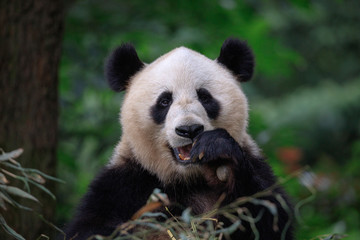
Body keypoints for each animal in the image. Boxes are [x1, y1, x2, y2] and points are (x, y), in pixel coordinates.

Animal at [65, 38, 292, 239]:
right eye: (164, 101)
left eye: (205, 97)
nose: (189, 129)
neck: (187, 180)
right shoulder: (124, 183)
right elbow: (92, 229)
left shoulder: (256, 166)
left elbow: (268, 217)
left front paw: (221, 159)